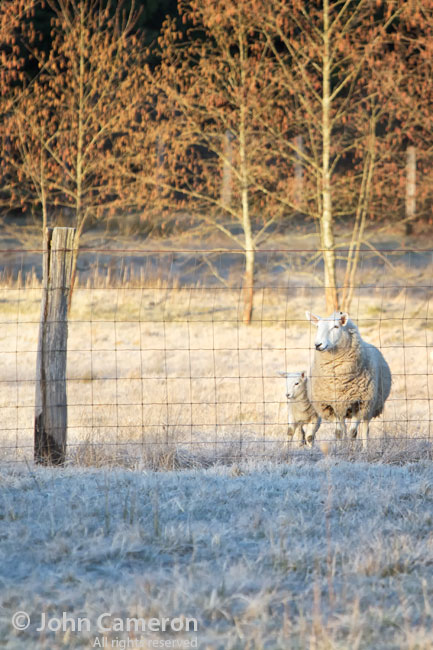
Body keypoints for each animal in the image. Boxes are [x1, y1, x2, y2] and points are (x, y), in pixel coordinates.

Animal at [305, 310, 392, 447]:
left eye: (336, 326)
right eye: (318, 326)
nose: (318, 345)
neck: (339, 380)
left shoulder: (360, 403)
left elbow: (353, 433)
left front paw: (351, 449)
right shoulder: (332, 406)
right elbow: (339, 432)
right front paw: (341, 448)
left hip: (371, 405)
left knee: (365, 430)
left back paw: (365, 448)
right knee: (344, 428)